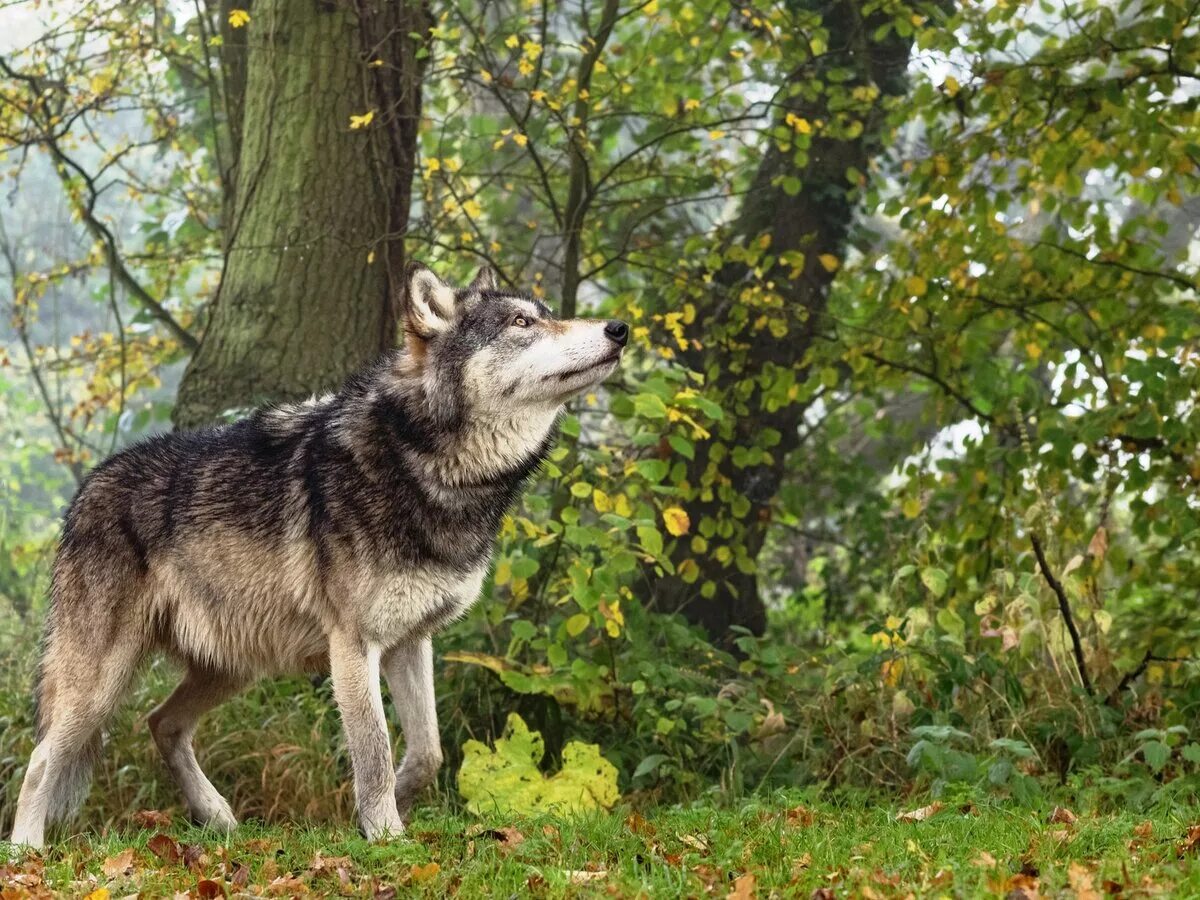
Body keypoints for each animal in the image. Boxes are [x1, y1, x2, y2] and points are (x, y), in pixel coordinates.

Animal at [9, 262, 628, 854]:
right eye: (522, 322)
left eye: (547, 314)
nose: (619, 328)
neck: (424, 467)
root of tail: (84, 491)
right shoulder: (353, 646)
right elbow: (375, 751)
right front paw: (387, 837)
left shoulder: (410, 641)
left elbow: (426, 754)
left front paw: (376, 812)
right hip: (101, 682)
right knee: (42, 758)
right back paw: (25, 850)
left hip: (233, 668)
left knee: (161, 723)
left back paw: (217, 816)